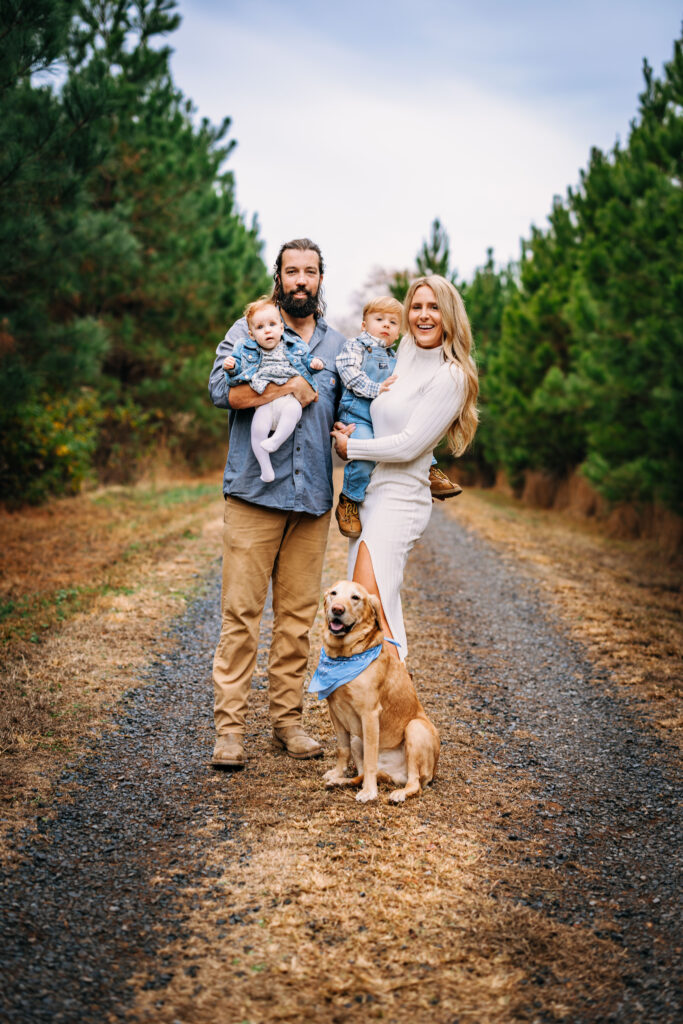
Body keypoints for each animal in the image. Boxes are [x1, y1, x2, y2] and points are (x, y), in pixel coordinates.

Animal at [319, 581, 440, 802]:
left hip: (415, 729)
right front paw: (338, 773)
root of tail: (395, 775)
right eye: (334, 593)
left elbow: (370, 760)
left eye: (355, 598)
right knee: (359, 774)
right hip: (357, 737)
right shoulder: (335, 712)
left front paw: (369, 792)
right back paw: (341, 782)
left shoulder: (369, 715)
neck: (344, 656)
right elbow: (342, 749)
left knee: (414, 783)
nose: (337, 609)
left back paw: (399, 793)